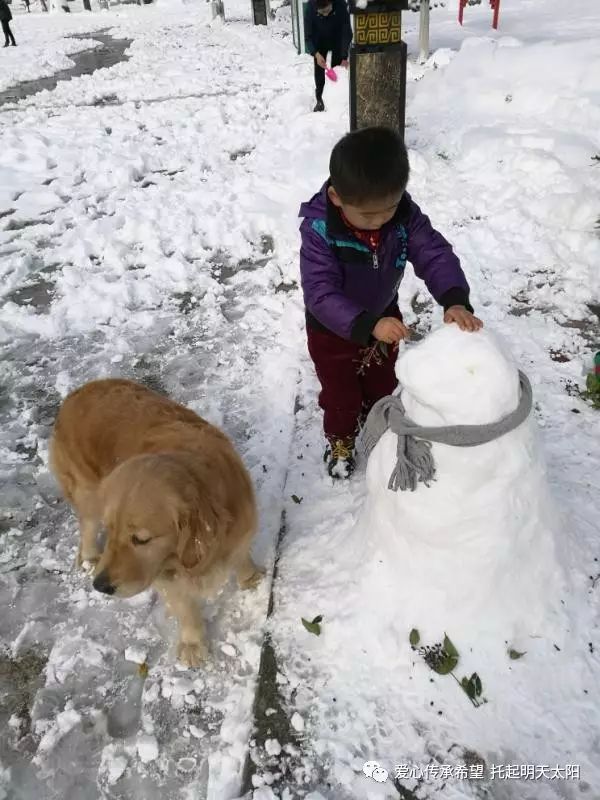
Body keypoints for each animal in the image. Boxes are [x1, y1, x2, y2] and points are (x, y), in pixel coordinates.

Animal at [52, 378, 264, 664]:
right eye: (111, 530)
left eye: (141, 539)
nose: (100, 586)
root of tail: (77, 392)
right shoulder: (163, 571)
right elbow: (185, 606)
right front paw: (192, 643)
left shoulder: (241, 530)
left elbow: (241, 557)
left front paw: (252, 579)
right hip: (88, 491)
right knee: (87, 523)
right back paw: (90, 556)